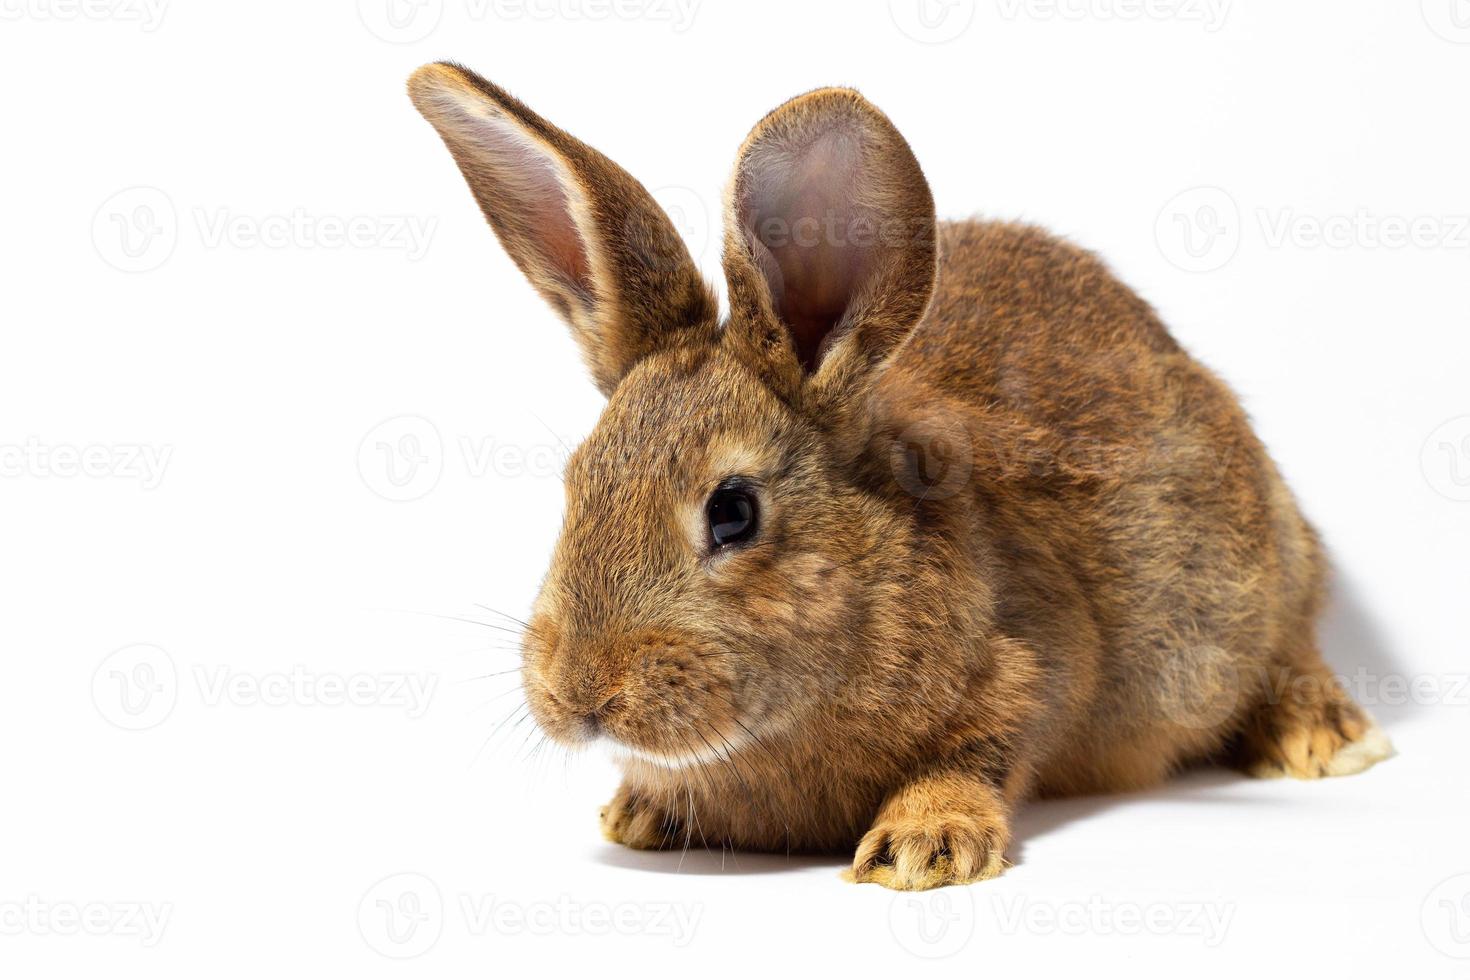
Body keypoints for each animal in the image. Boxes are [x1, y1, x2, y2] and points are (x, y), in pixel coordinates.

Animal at [411, 59, 1387, 887]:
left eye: (733, 512)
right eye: (574, 484)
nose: (579, 694)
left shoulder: (1032, 665)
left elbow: (982, 749)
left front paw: (921, 847)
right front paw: (640, 812)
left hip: (1264, 568)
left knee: (1290, 645)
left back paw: (1328, 740)